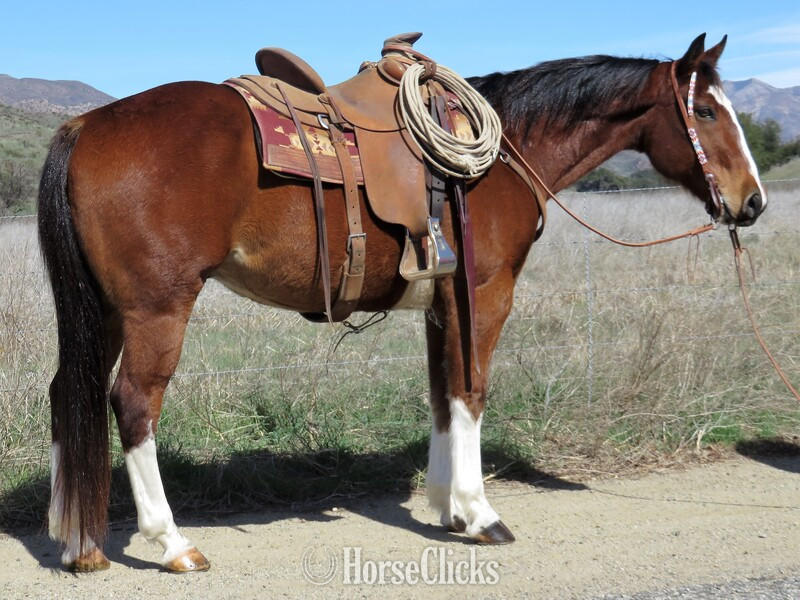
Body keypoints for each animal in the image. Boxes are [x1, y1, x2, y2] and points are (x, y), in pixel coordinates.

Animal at [38, 33, 765, 572]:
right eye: (705, 112)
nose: (752, 201)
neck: (504, 155)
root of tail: (85, 124)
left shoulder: (442, 304)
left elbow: (442, 396)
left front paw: (447, 505)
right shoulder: (485, 294)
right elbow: (471, 391)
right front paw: (481, 512)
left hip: (104, 312)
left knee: (68, 392)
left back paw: (77, 542)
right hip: (157, 308)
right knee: (134, 403)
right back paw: (171, 542)